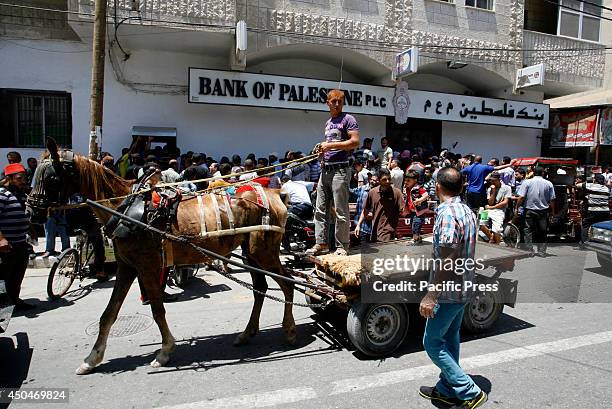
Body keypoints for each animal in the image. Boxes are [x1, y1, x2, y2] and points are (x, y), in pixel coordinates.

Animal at [28, 139, 294, 374]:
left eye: (51, 177)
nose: (32, 211)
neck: (123, 208)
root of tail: (275, 193)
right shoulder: (127, 266)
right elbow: (109, 314)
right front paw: (92, 358)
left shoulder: (148, 267)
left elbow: (157, 310)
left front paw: (165, 351)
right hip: (251, 254)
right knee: (260, 289)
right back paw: (247, 333)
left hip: (264, 253)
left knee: (288, 283)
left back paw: (290, 330)